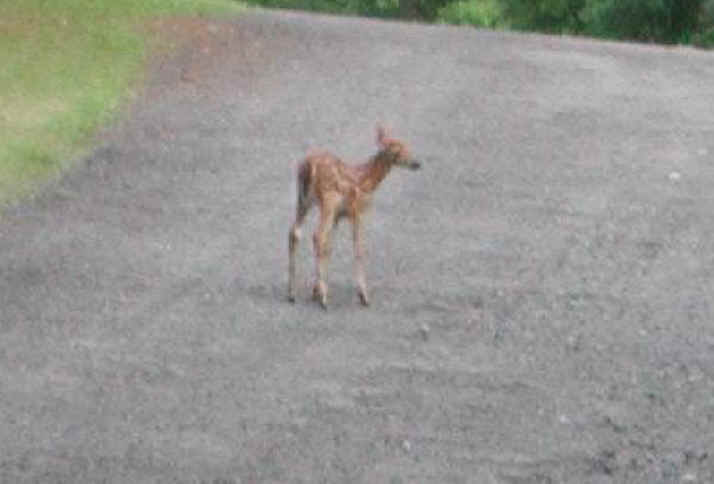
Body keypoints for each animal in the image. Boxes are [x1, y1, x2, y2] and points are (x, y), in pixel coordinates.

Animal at [288, 124, 421, 309]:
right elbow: (359, 248)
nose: (416, 163)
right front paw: (363, 295)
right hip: (329, 199)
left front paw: (316, 290)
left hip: (303, 200)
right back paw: (323, 299)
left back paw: (292, 293)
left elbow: (330, 247)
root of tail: (307, 167)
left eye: (407, 146)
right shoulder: (358, 211)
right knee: (317, 235)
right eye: (396, 150)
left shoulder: (339, 215)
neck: (366, 180)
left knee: (295, 232)